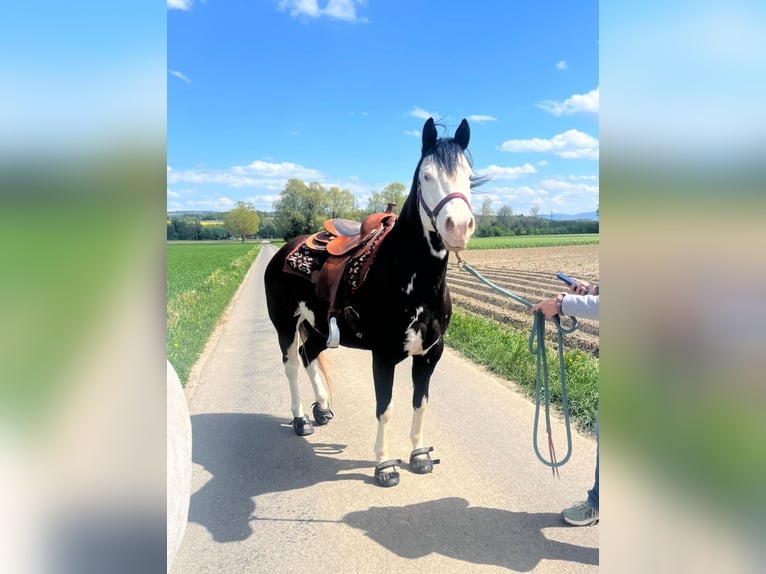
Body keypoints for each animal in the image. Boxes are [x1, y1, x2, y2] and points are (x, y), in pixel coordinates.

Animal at [264, 117, 482, 487]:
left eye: (469, 176)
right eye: (427, 176)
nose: (458, 226)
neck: (412, 283)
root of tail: (283, 251)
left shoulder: (431, 353)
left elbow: (420, 403)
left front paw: (419, 455)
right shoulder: (383, 355)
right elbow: (385, 408)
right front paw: (384, 465)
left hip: (321, 329)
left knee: (308, 355)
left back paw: (322, 408)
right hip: (285, 325)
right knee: (292, 364)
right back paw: (300, 420)